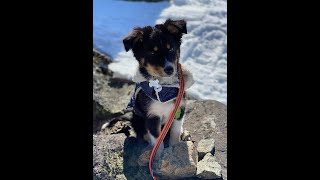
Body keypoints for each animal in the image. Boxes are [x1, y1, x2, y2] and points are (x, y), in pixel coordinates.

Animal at [124, 18, 194, 154]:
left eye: (171, 48)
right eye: (152, 53)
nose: (170, 69)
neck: (164, 87)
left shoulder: (179, 109)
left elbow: (175, 131)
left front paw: (174, 147)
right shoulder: (152, 115)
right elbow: (157, 138)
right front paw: (159, 154)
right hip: (136, 118)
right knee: (142, 132)